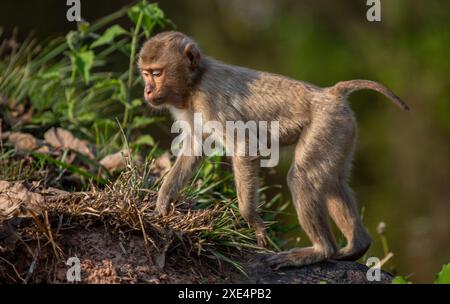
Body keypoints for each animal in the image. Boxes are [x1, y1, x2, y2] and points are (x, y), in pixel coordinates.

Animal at [139, 31, 410, 268]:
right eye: (145, 74)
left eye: (156, 73)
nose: (147, 90)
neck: (193, 83)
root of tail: (331, 93)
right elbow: (194, 151)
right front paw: (162, 204)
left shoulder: (210, 100)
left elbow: (244, 148)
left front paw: (254, 222)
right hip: (342, 129)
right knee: (333, 181)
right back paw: (356, 246)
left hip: (327, 124)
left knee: (303, 178)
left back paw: (321, 251)